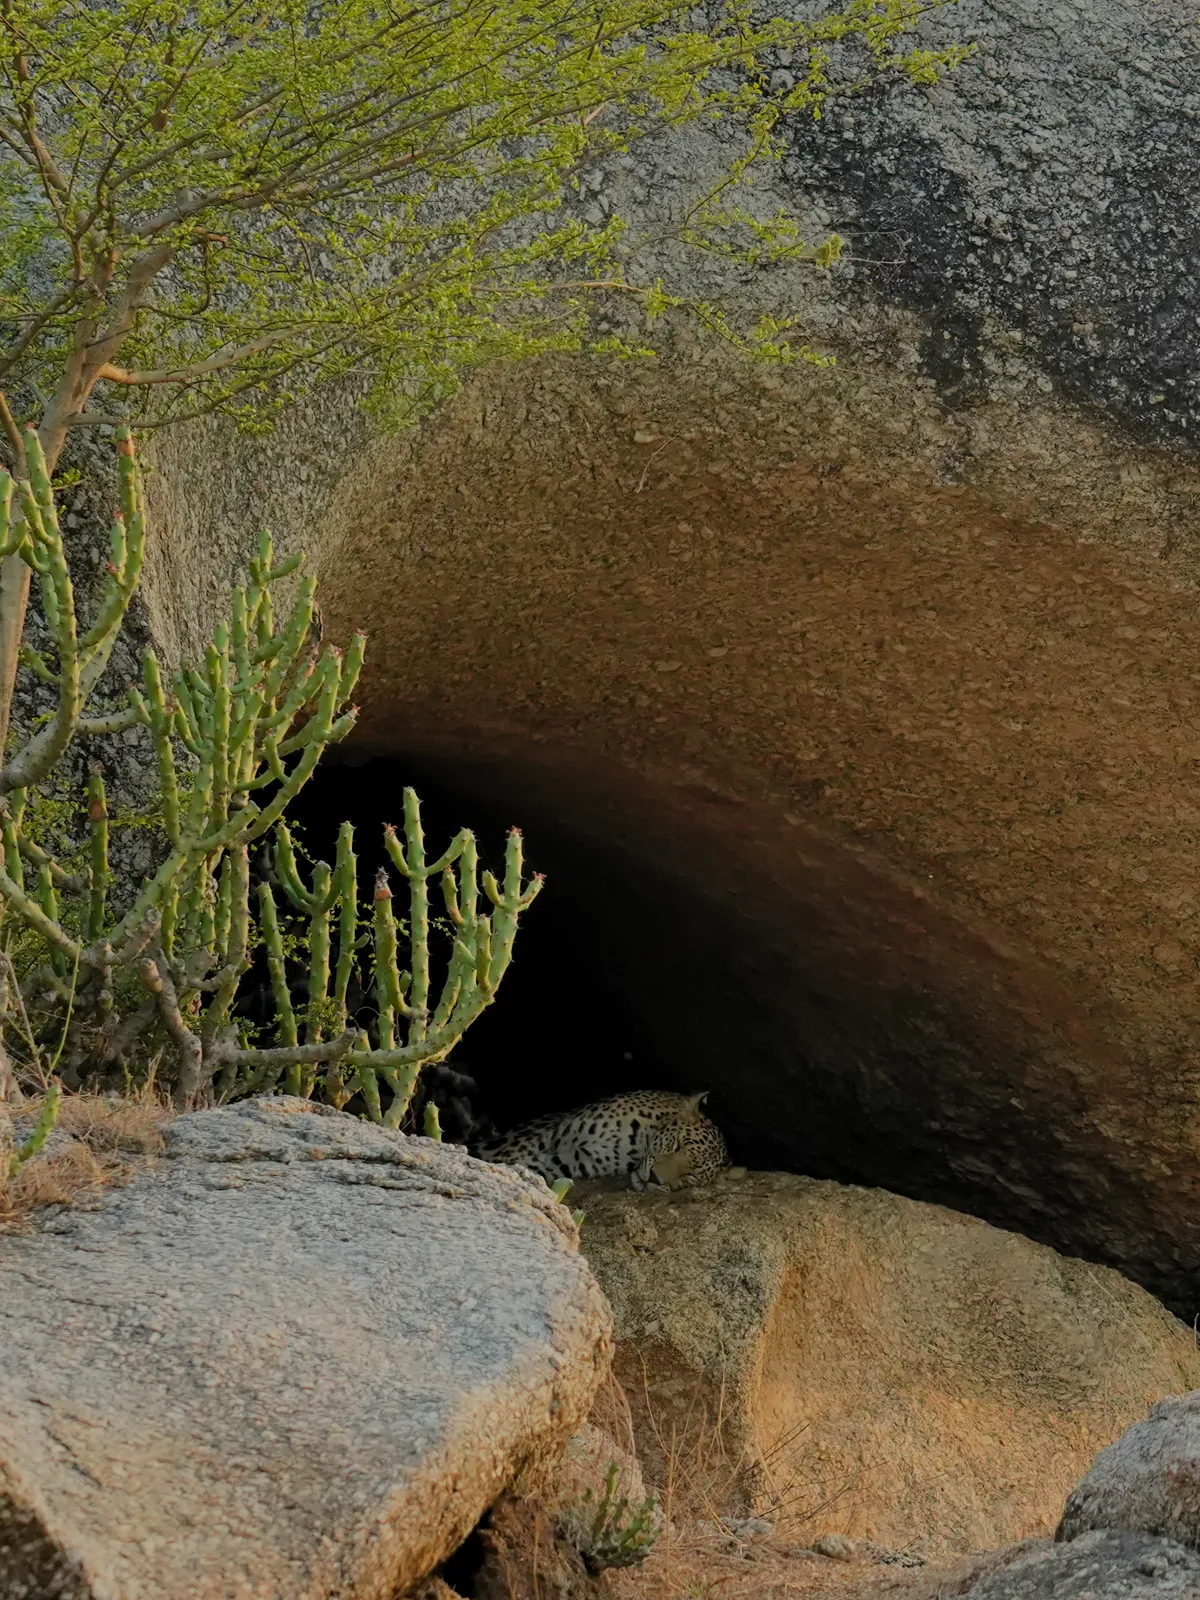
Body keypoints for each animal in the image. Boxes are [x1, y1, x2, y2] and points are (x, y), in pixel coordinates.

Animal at [471, 1089, 730, 1191]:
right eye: (677, 1144)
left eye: (691, 1176)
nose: (655, 1178)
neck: (636, 1145)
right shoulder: (552, 1134)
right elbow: (510, 1154)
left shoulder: (578, 1160)